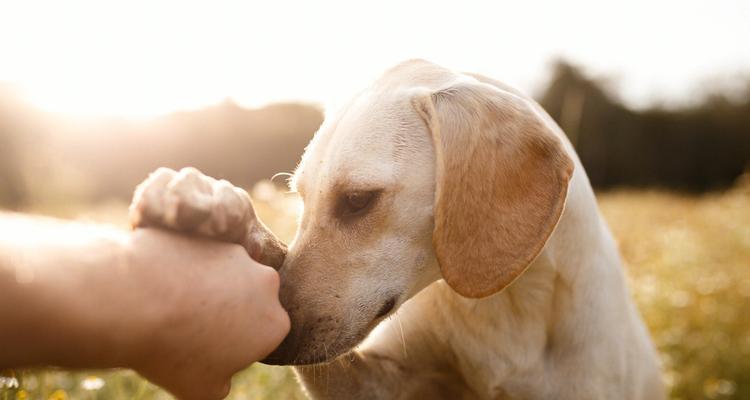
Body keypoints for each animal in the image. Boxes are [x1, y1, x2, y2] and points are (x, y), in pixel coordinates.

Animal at [129, 59, 664, 400]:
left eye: (358, 200)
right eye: (301, 198)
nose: (275, 344)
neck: (506, 309)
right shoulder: (376, 382)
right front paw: (219, 209)